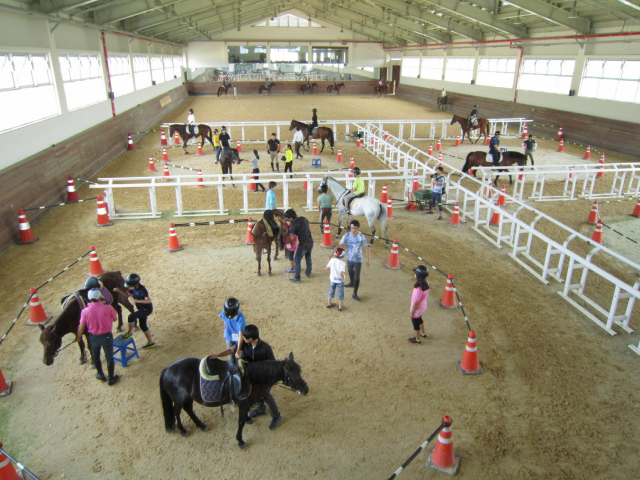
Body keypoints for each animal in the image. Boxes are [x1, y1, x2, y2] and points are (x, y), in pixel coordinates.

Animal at [160, 352, 310, 450]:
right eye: (293, 374)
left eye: (300, 371)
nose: (306, 389)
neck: (250, 378)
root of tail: (167, 369)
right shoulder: (243, 405)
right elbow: (241, 422)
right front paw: (240, 440)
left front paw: (249, 420)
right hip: (179, 399)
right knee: (176, 412)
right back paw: (183, 430)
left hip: (189, 398)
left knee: (188, 410)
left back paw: (201, 425)